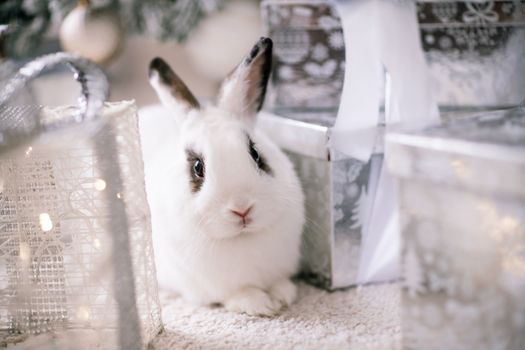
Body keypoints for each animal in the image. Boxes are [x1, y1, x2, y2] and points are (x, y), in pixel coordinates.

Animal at [141, 37, 304, 316]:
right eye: (198, 167)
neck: (242, 239)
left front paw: (284, 295)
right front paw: (261, 305)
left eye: (255, 153)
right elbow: (237, 294)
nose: (242, 209)